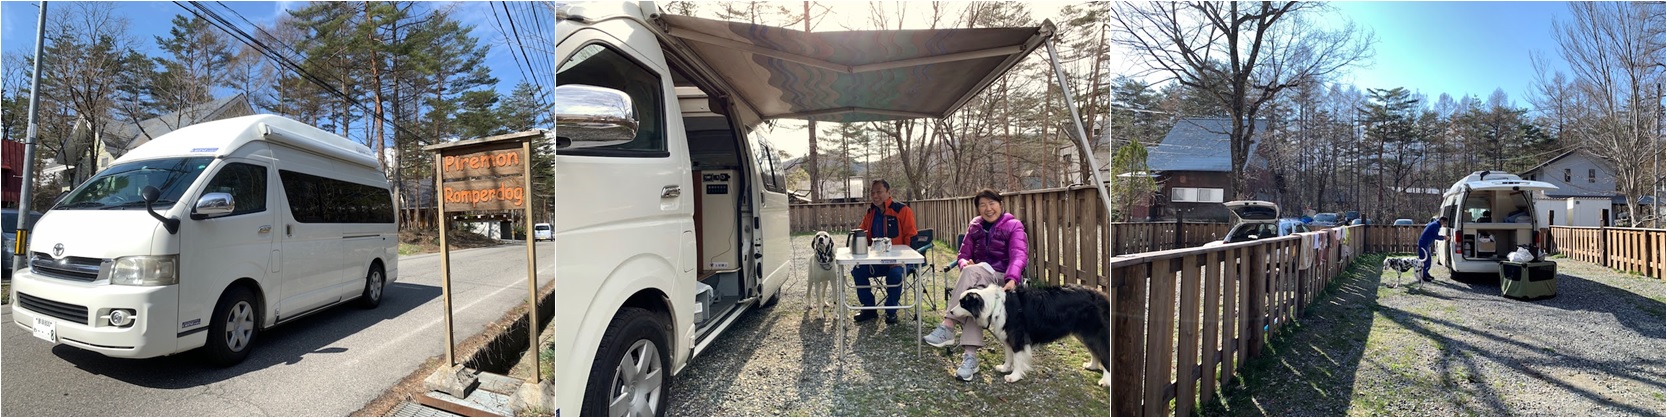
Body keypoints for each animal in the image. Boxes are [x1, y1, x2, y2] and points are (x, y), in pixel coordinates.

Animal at [953, 284, 1106, 384]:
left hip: (1095, 333)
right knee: (1095, 351)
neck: (996, 305)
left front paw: (1014, 376)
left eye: (963, 304)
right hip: (1084, 334)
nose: (951, 312)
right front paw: (1005, 368)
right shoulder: (1008, 337)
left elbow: (1017, 359)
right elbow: (1009, 355)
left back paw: (1105, 381)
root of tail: (1100, 295)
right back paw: (1092, 366)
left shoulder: (1017, 338)